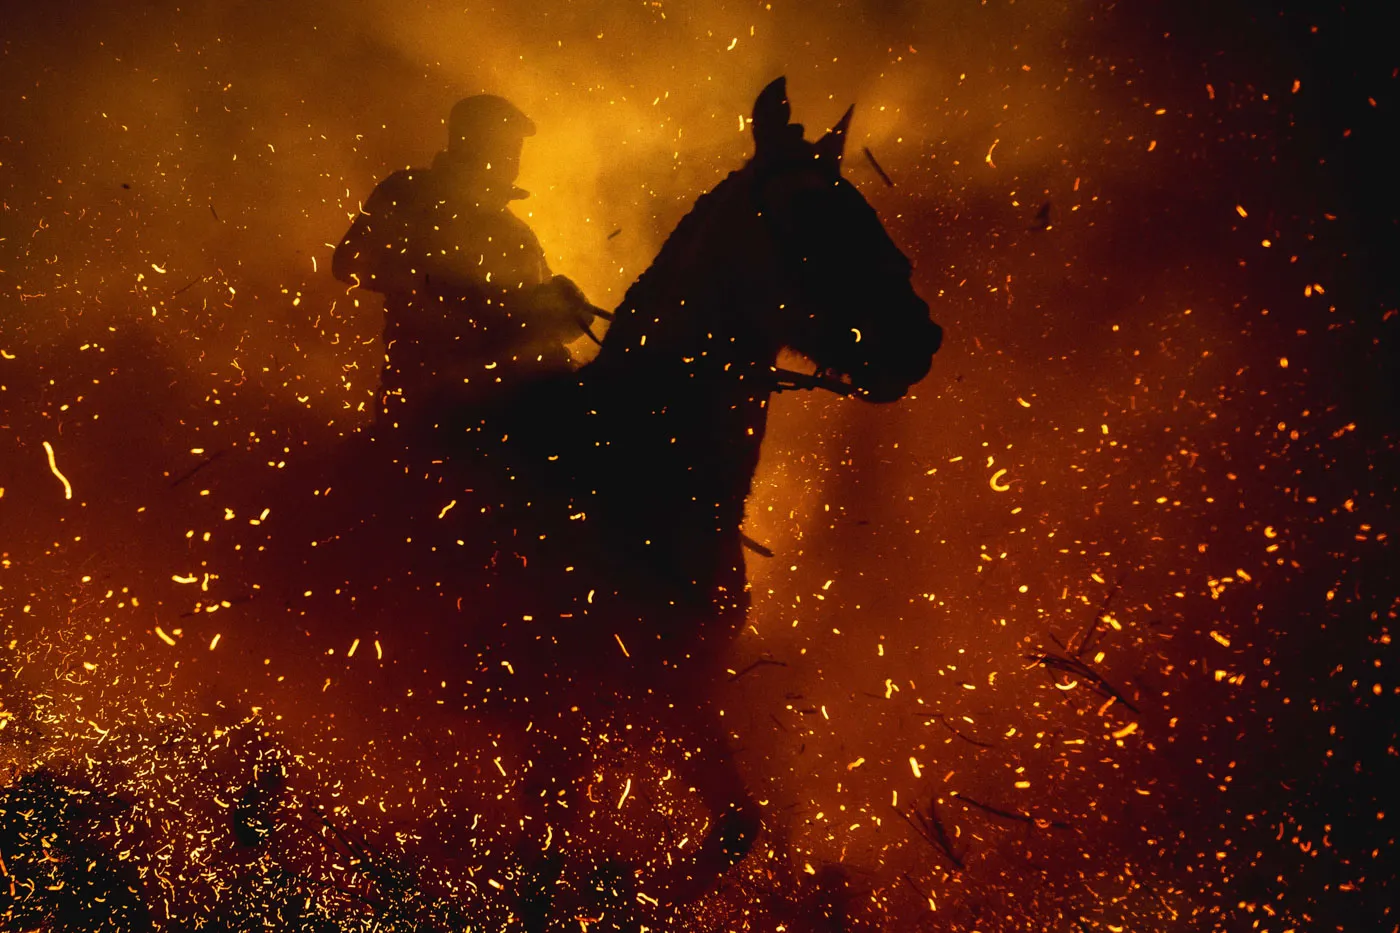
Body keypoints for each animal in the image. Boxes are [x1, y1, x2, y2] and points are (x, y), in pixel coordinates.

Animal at [2, 76, 940, 924]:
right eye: (814, 218)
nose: (919, 338)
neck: (626, 474)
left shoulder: (674, 695)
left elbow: (730, 829)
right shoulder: (551, 716)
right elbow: (544, 860)